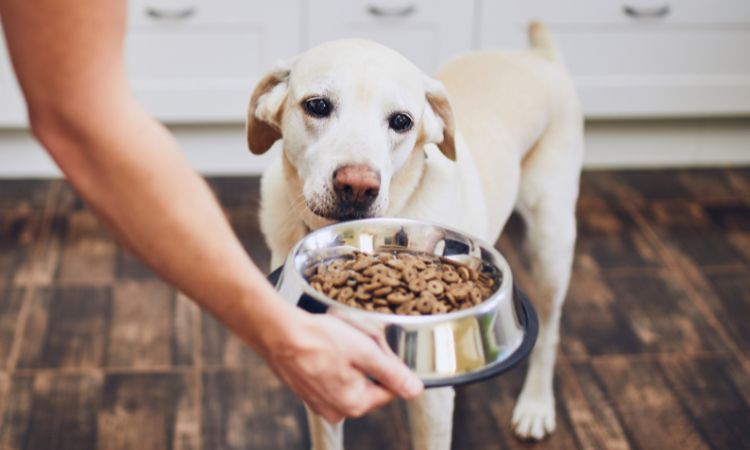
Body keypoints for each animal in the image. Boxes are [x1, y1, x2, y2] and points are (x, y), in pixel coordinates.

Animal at [248, 22, 588, 450]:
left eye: (401, 121)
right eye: (317, 106)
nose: (357, 186)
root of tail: (539, 56)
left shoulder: (432, 404)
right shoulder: (322, 377)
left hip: (551, 241)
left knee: (550, 330)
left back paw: (536, 405)